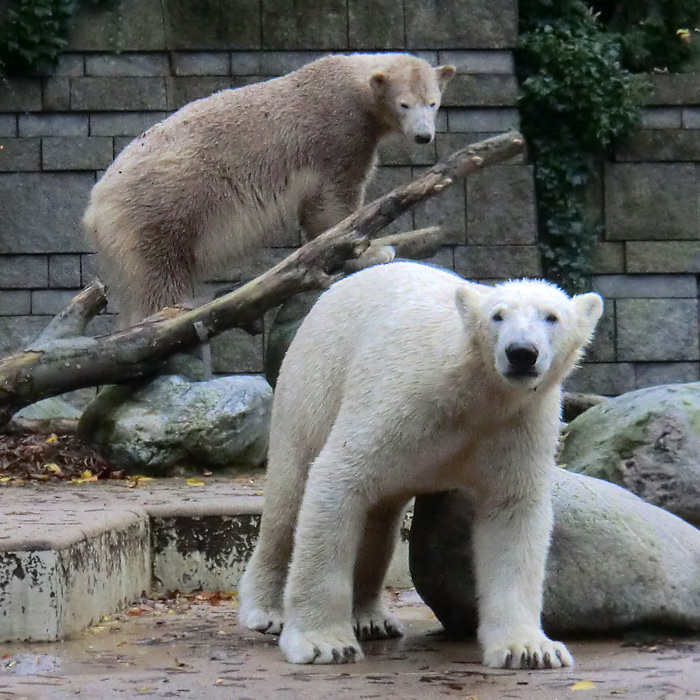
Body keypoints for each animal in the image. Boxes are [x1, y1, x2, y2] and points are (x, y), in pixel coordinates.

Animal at [83, 53, 454, 324]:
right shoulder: (338, 131)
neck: (351, 84)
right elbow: (335, 199)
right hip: (157, 208)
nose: (424, 136)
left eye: (433, 103)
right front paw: (372, 250)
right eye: (404, 104)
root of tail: (94, 208)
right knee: (159, 275)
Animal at [239, 258, 600, 668]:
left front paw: (528, 649)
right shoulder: (404, 402)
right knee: (288, 498)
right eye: (498, 315)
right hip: (311, 384)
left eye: (551, 316)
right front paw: (324, 643)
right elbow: (338, 478)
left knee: (380, 521)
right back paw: (266, 611)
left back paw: (371, 618)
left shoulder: (520, 425)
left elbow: (513, 514)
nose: (521, 352)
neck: (477, 392)